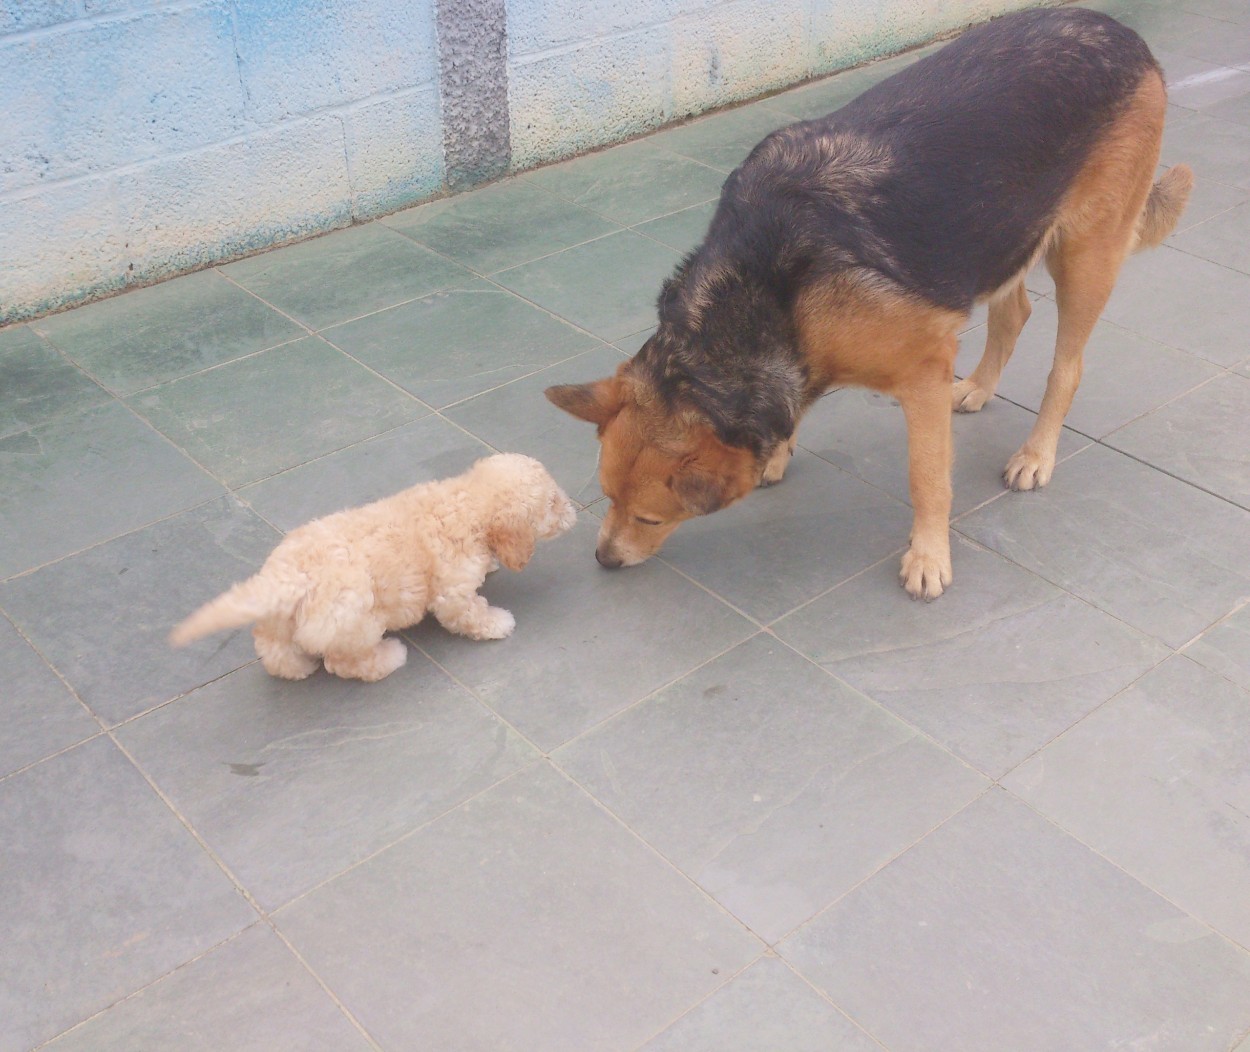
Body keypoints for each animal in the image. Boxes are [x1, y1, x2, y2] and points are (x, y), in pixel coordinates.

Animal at [170, 449, 575, 679]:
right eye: (553, 503)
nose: (573, 513)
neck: (469, 501)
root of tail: (286, 578)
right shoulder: (453, 592)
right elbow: (470, 614)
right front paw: (497, 622)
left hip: (280, 621)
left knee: (275, 651)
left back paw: (297, 669)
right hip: (357, 622)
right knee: (343, 663)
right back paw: (389, 657)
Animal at [547, 4, 1190, 599]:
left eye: (650, 518)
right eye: (604, 496)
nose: (602, 559)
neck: (761, 290)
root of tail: (1119, 32)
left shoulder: (923, 374)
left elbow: (927, 477)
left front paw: (928, 555)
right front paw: (778, 452)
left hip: (1084, 255)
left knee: (1068, 366)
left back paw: (1037, 454)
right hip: (1001, 235)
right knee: (1015, 313)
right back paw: (980, 387)